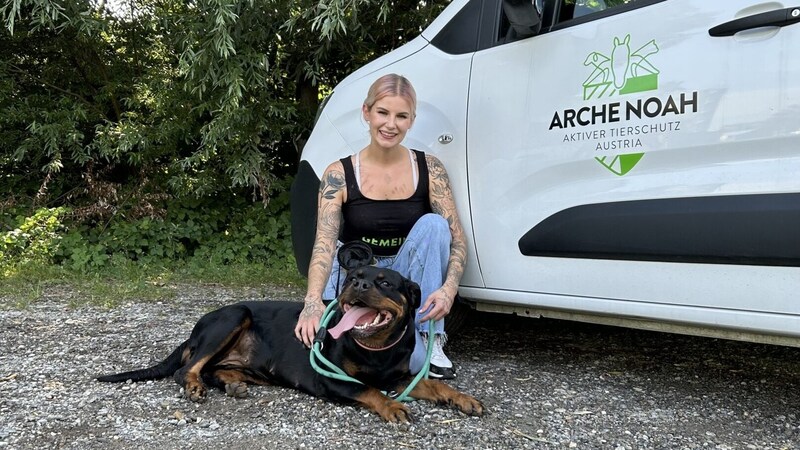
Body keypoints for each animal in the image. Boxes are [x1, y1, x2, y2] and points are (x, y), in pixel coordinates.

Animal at [94, 264, 482, 422]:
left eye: (385, 282)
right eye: (352, 278)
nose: (357, 285)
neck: (375, 347)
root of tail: (194, 329)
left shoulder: (397, 377)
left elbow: (433, 384)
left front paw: (462, 398)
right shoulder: (332, 379)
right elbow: (368, 390)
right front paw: (392, 407)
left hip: (253, 365)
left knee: (214, 370)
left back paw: (232, 385)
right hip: (233, 316)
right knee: (189, 368)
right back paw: (193, 386)